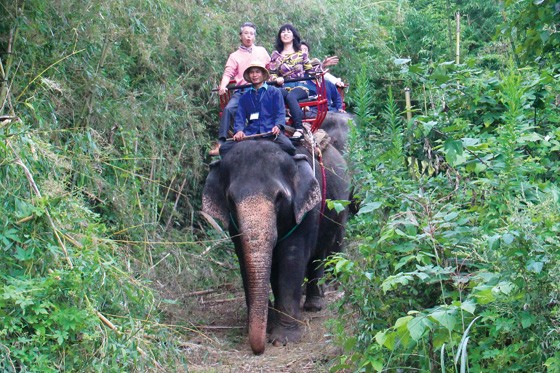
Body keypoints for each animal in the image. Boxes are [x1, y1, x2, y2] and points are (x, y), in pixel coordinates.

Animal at [201, 138, 350, 354]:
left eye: (280, 197)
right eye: (231, 200)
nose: (258, 349)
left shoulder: (306, 211)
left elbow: (292, 258)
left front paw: (283, 339)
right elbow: (245, 260)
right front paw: (270, 326)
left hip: (339, 209)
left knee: (319, 253)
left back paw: (314, 305)